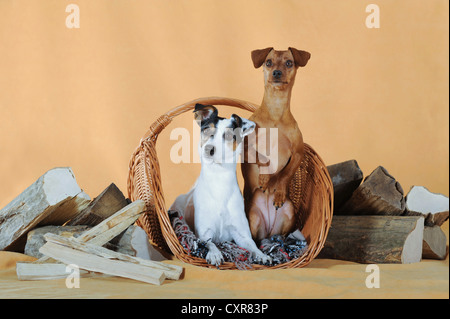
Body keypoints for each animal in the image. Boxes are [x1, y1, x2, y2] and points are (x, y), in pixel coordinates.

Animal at [171, 104, 270, 266]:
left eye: (229, 136)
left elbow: (252, 246)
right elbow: (209, 243)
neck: (219, 180)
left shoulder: (241, 234)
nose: (208, 149)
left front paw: (262, 255)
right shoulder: (204, 233)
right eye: (206, 130)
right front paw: (215, 254)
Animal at [243, 47, 310, 242]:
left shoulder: (297, 153)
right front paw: (265, 178)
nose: (277, 72)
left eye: (289, 62)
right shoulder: (245, 147)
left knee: (280, 235)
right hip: (254, 216)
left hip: (288, 213)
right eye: (268, 62)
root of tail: (268, 232)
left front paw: (278, 191)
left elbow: (285, 174)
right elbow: (262, 157)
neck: (276, 111)